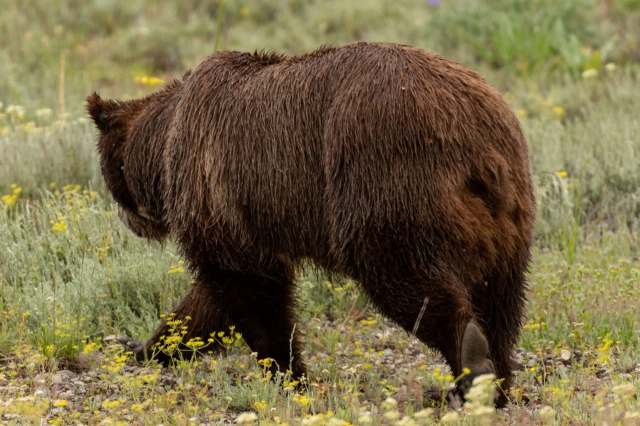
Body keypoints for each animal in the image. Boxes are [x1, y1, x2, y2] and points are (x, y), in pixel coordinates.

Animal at [87, 42, 535, 406]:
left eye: (109, 174)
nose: (130, 222)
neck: (164, 144)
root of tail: (477, 148)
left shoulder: (219, 187)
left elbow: (249, 289)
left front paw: (288, 373)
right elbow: (208, 303)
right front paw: (147, 345)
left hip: (387, 181)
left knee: (409, 281)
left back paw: (470, 367)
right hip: (508, 214)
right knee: (501, 298)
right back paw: (496, 379)